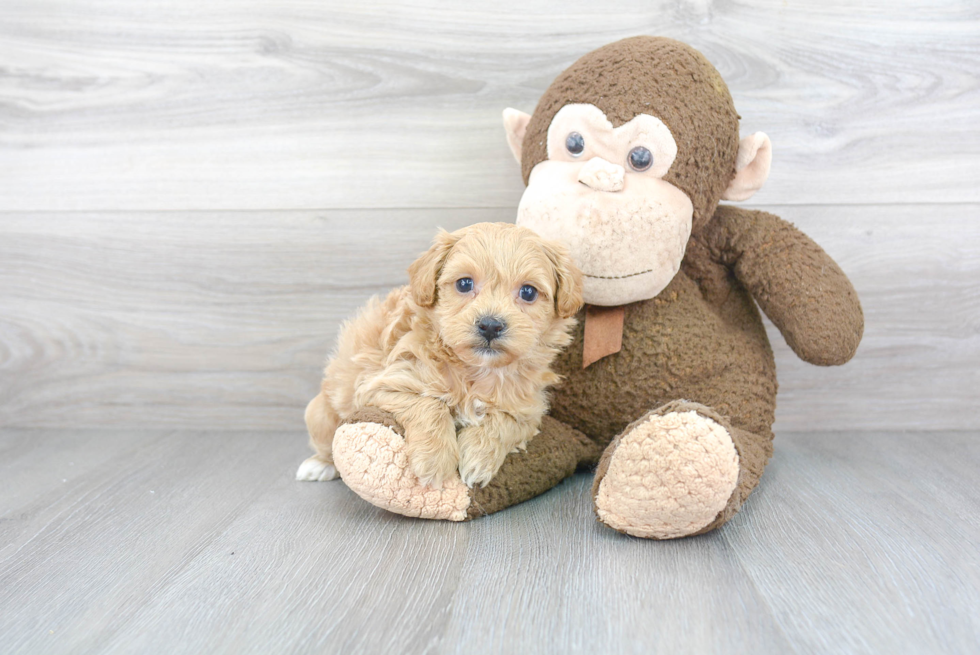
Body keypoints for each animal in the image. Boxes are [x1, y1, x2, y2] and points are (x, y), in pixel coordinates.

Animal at [294, 223, 580, 490]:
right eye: (464, 283)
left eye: (528, 292)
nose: (490, 325)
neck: (477, 372)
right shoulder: (382, 384)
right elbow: (429, 404)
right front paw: (434, 462)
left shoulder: (528, 409)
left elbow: (502, 421)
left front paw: (478, 460)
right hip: (320, 415)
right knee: (326, 444)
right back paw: (318, 465)